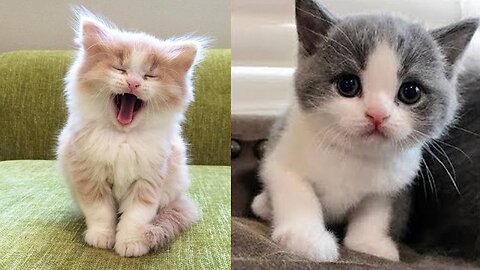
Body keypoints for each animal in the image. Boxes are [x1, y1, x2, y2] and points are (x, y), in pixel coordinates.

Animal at [56, 7, 204, 258]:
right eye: (120, 68)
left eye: (149, 76)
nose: (133, 83)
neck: (123, 138)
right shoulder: (90, 177)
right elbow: (100, 213)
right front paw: (101, 238)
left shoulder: (147, 183)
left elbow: (135, 218)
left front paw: (131, 243)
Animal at [253, 0, 478, 262]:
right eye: (348, 85)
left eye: (410, 92)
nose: (377, 114)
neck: (354, 157)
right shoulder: (284, 158)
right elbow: (299, 193)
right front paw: (307, 239)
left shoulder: (391, 186)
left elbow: (374, 213)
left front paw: (369, 243)